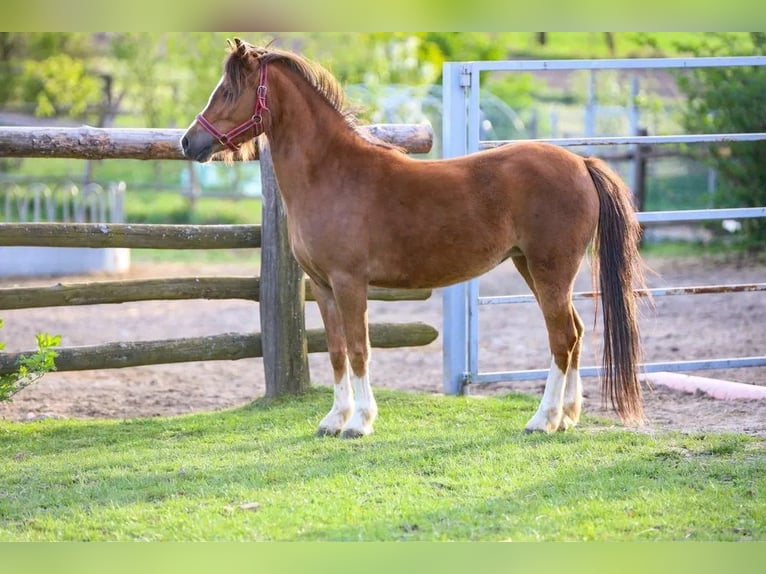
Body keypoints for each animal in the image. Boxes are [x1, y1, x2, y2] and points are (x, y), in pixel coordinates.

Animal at [182, 38, 648, 438]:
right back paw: (567, 417)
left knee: (562, 339)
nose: (189, 142)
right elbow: (336, 352)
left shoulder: (350, 283)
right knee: (575, 334)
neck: (332, 173)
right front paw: (334, 419)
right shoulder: (323, 286)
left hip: (550, 270)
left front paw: (360, 423)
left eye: (227, 91)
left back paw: (544, 420)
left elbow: (359, 350)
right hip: (530, 267)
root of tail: (580, 163)